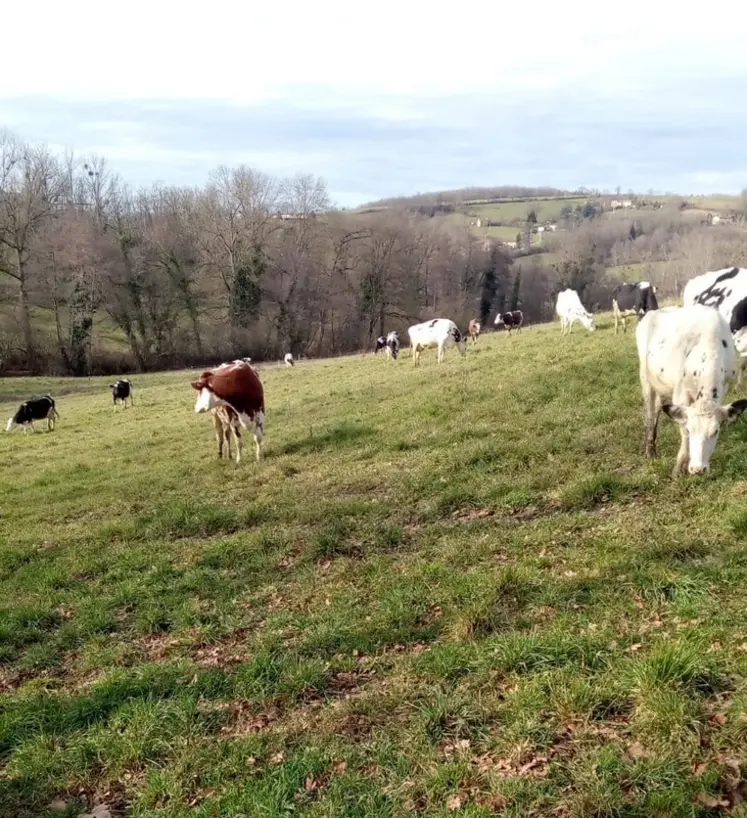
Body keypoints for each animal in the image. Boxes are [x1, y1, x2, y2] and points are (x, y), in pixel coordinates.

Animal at [636, 302, 747, 474]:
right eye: (690, 430)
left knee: (658, 407)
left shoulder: (724, 387)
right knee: (649, 412)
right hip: (645, 377)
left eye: (716, 431)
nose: (699, 469)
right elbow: (682, 429)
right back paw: (650, 451)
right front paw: (679, 468)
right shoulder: (680, 395)